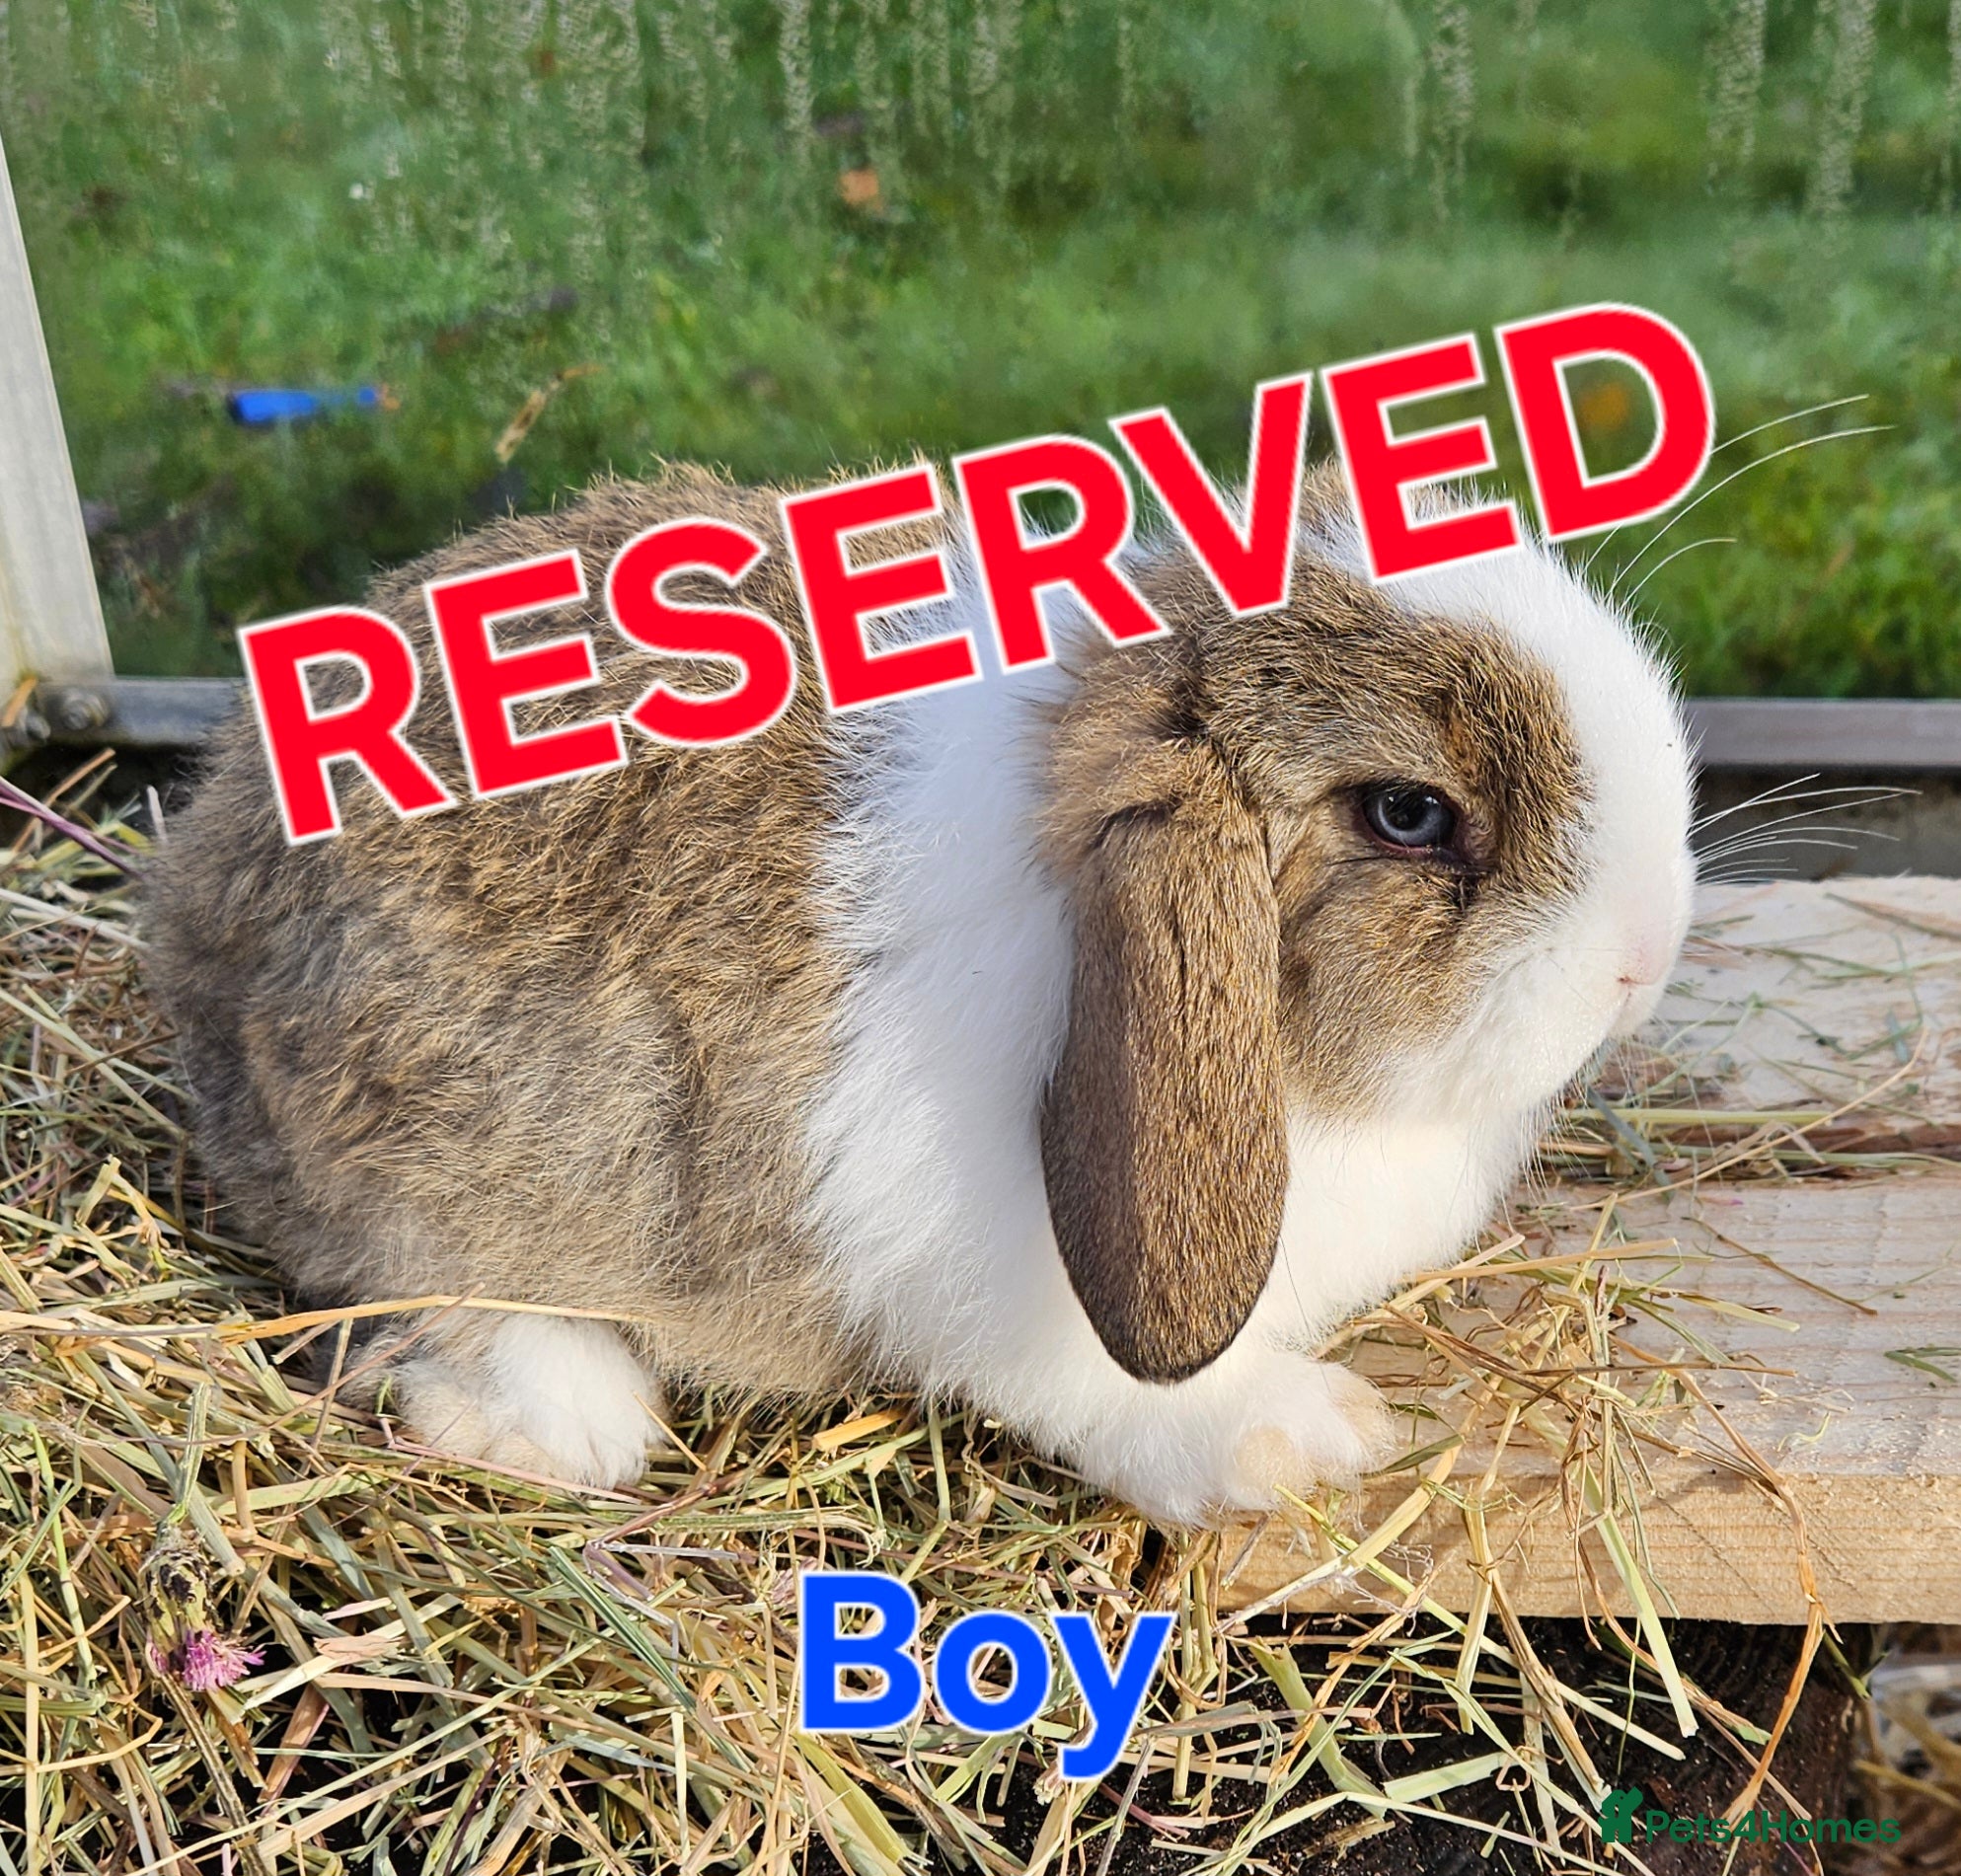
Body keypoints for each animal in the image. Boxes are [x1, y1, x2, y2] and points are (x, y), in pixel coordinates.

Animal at [144, 459, 1695, 1524]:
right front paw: (1301, 1442)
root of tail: (203, 887)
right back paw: (565, 1423)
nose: (1647, 949)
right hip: (416, 1167)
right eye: (1407, 815)